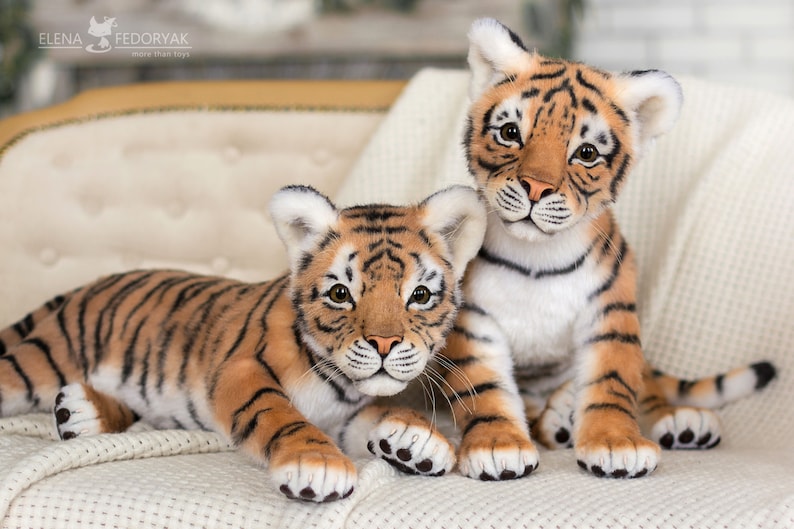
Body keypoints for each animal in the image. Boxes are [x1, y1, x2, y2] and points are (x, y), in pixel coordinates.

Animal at [0, 184, 488, 502]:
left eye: (419, 296)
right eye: (340, 293)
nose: (384, 344)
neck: (342, 384)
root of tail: (88, 285)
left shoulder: (348, 414)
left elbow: (387, 411)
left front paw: (417, 440)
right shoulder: (241, 371)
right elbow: (277, 414)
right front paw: (316, 467)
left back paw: (80, 413)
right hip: (40, 362)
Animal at [436, 18, 777, 480]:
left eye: (586, 153)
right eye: (510, 133)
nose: (536, 188)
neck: (536, 256)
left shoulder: (610, 312)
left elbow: (612, 383)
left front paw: (617, 445)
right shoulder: (473, 321)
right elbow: (484, 388)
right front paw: (497, 447)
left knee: (648, 389)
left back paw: (681, 421)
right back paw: (558, 416)